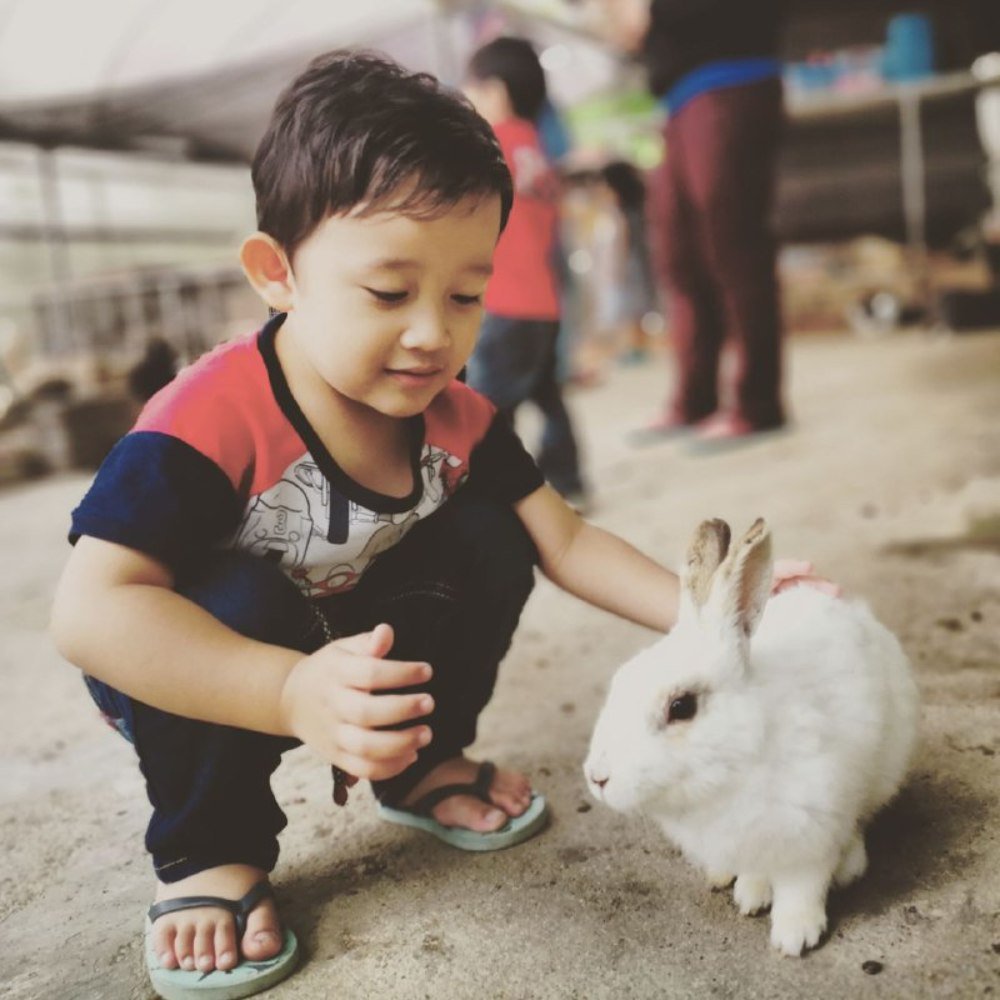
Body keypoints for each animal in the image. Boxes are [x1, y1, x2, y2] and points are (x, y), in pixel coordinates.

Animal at [584, 517, 919, 957]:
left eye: (681, 706)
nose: (597, 778)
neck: (731, 769)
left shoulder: (809, 829)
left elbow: (802, 885)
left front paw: (795, 935)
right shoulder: (748, 839)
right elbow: (757, 870)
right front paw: (752, 894)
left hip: (883, 769)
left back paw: (850, 867)